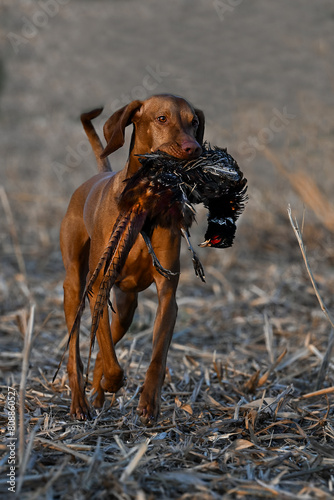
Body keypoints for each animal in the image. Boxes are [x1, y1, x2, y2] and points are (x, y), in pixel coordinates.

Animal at [61, 94, 205, 422]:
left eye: (194, 122)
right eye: (162, 118)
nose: (194, 148)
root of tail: (98, 175)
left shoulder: (168, 294)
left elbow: (157, 356)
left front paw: (149, 401)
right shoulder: (98, 286)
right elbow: (106, 351)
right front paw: (113, 380)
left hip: (126, 307)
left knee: (105, 348)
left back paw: (97, 393)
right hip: (75, 287)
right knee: (76, 352)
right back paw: (80, 402)